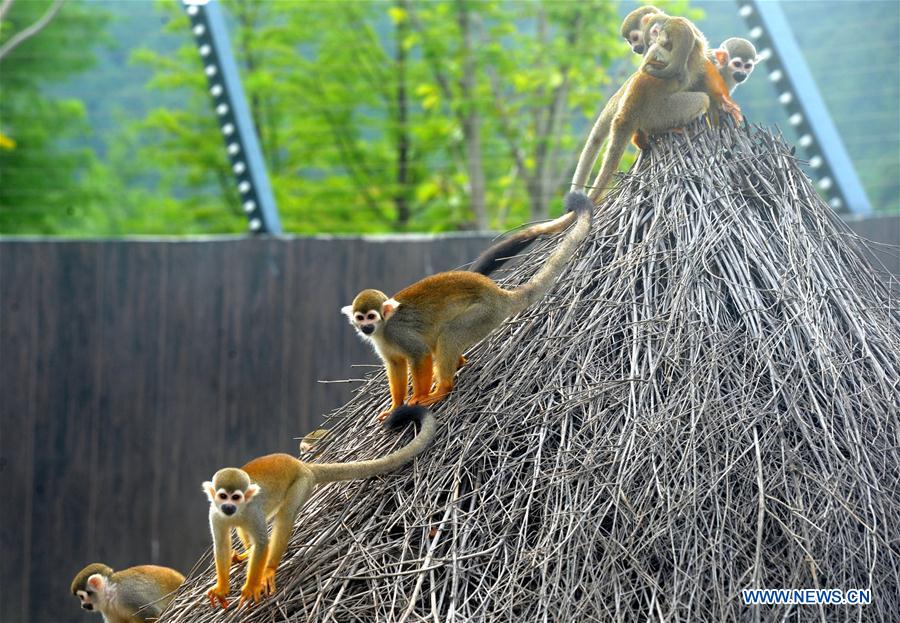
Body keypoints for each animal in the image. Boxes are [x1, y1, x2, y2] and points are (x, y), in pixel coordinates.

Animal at [202, 404, 434, 608]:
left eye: (236, 497)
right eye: (223, 496)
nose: (229, 507)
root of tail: (302, 464)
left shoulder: (251, 508)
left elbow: (262, 543)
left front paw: (252, 585)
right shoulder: (215, 513)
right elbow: (221, 544)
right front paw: (222, 588)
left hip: (302, 483)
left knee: (285, 515)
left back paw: (269, 568)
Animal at [342, 189, 592, 420]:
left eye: (371, 316)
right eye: (360, 318)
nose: (365, 327)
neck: (383, 329)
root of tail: (498, 294)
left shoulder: (398, 332)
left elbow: (420, 355)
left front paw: (417, 397)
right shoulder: (383, 343)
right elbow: (396, 365)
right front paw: (395, 406)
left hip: (483, 315)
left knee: (450, 334)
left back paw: (443, 389)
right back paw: (457, 365)